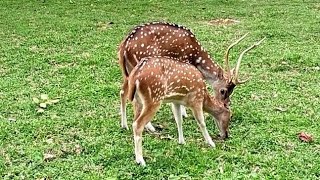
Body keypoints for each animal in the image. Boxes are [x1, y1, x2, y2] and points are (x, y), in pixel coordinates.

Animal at [119, 21, 266, 130]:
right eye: (223, 90)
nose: (226, 104)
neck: (196, 56)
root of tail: (124, 46)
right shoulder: (182, 61)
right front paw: (184, 113)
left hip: (129, 71)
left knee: (123, 92)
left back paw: (124, 125)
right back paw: (150, 127)